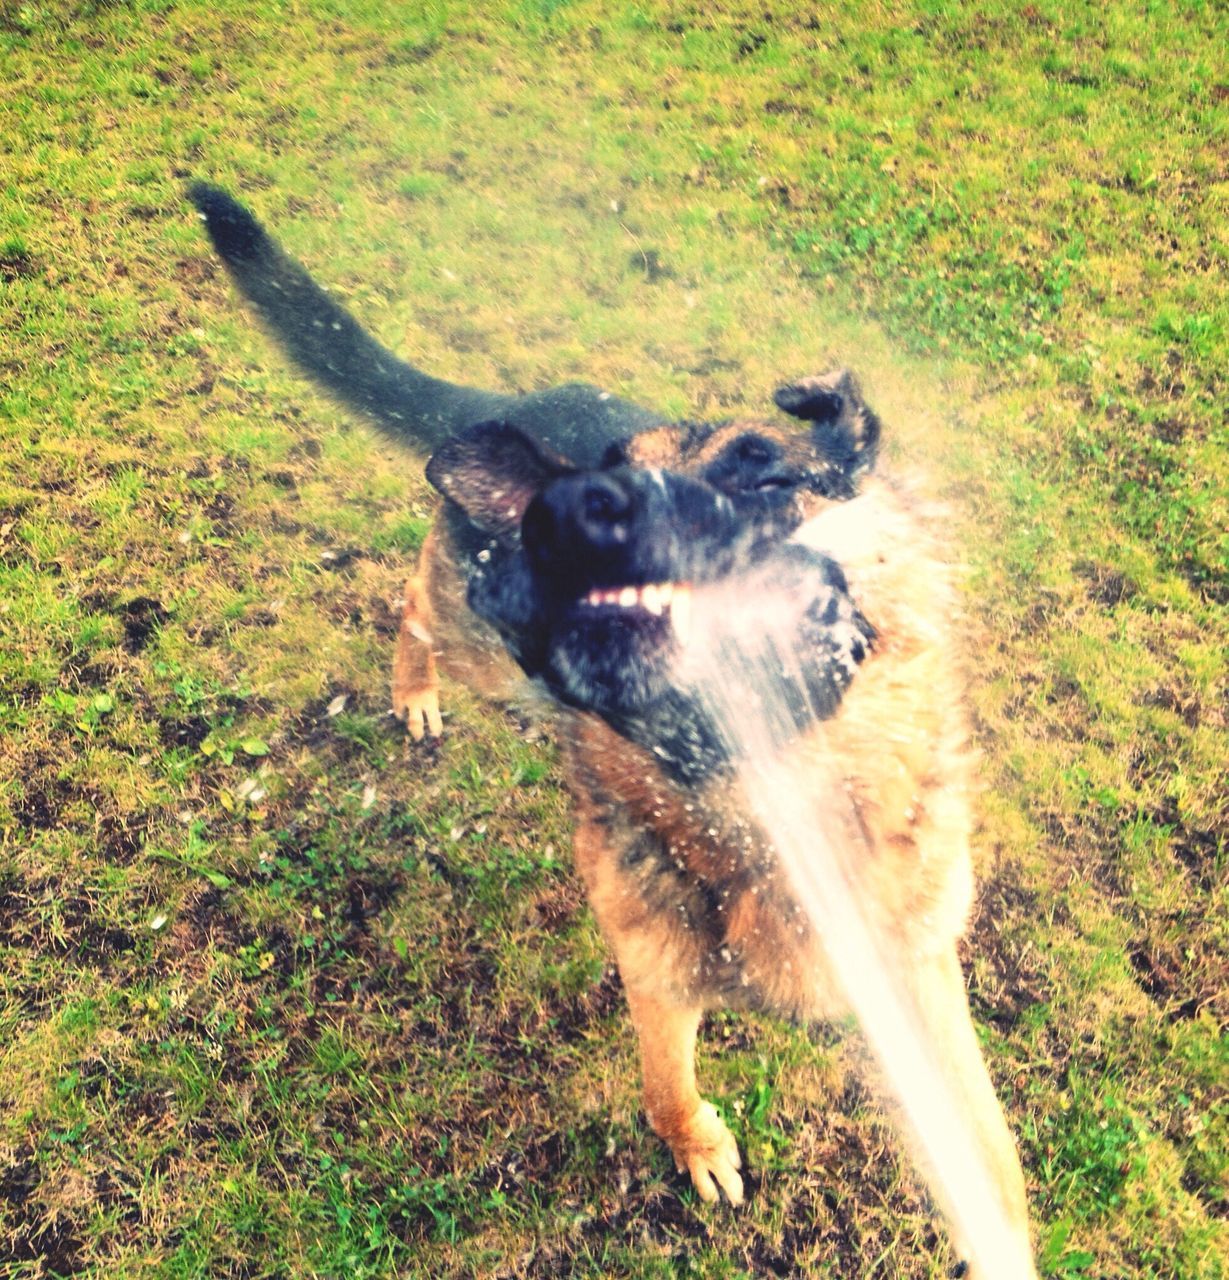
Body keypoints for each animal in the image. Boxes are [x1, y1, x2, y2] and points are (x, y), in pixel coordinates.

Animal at [194, 185, 1034, 1274]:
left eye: (766, 477)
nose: (602, 522)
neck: (777, 815)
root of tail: (512, 409)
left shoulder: (921, 969)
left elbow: (984, 1145)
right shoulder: (655, 976)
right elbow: (665, 1084)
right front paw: (697, 1147)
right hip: (472, 642)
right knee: (410, 602)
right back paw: (414, 688)